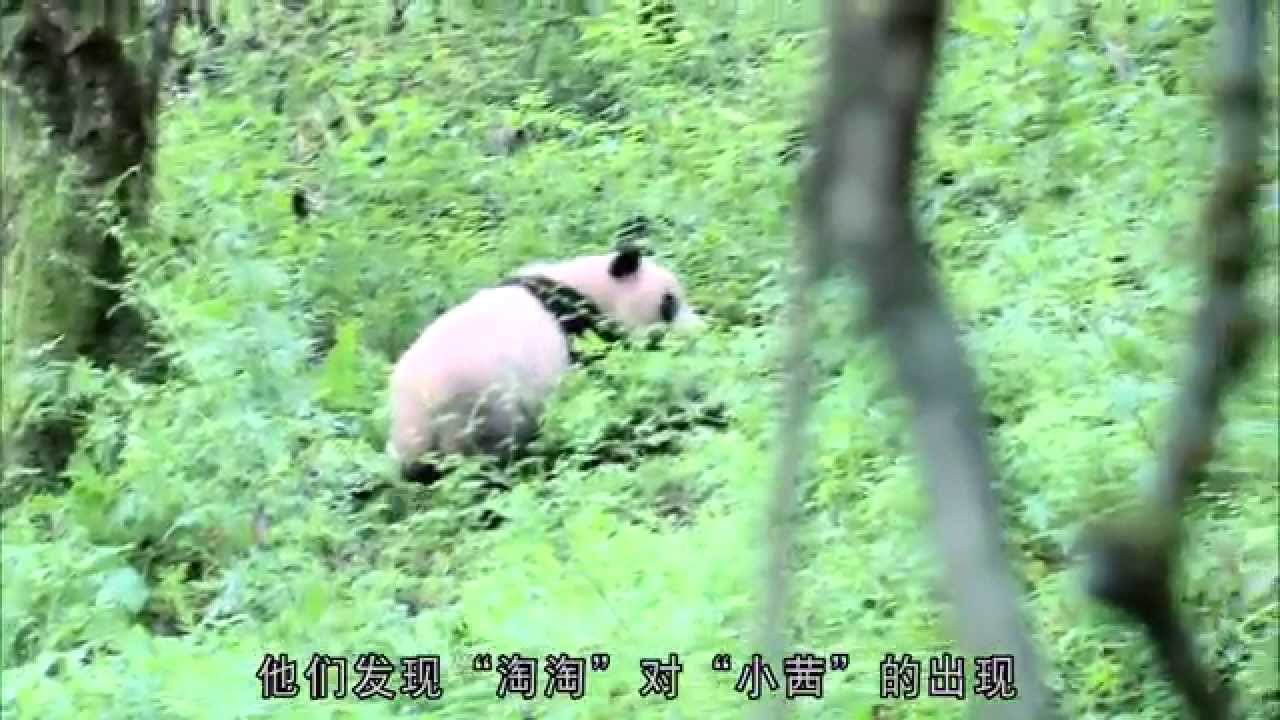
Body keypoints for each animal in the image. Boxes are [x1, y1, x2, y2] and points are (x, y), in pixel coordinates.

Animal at [387, 245, 703, 484]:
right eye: (669, 303)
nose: (698, 330)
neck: (592, 287)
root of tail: (422, 407)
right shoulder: (579, 326)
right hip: (481, 406)